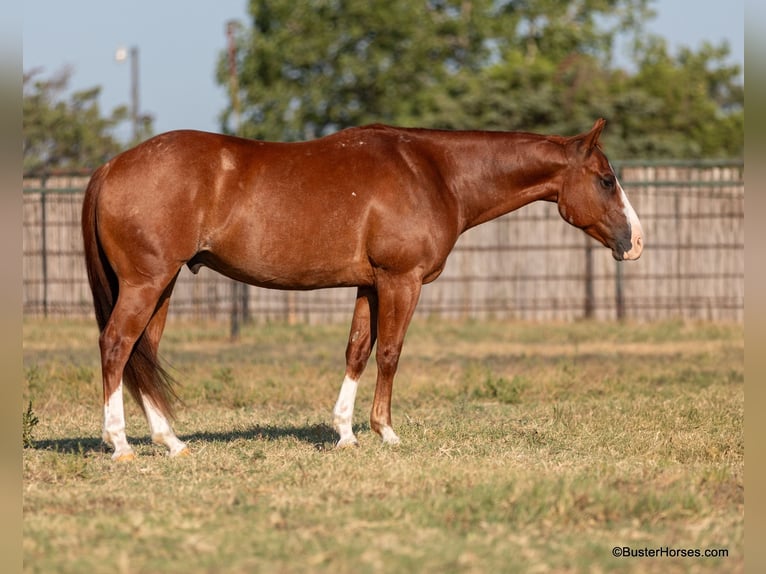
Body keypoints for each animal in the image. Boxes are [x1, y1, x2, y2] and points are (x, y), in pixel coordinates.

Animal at [82, 118, 642, 461]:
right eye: (606, 179)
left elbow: (357, 351)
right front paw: (386, 431)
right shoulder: (401, 280)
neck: (435, 172)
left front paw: (346, 433)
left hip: (164, 284)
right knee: (116, 345)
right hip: (147, 282)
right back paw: (120, 444)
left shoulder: (368, 285)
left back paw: (170, 441)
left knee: (143, 353)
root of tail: (111, 166)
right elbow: (390, 352)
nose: (634, 242)